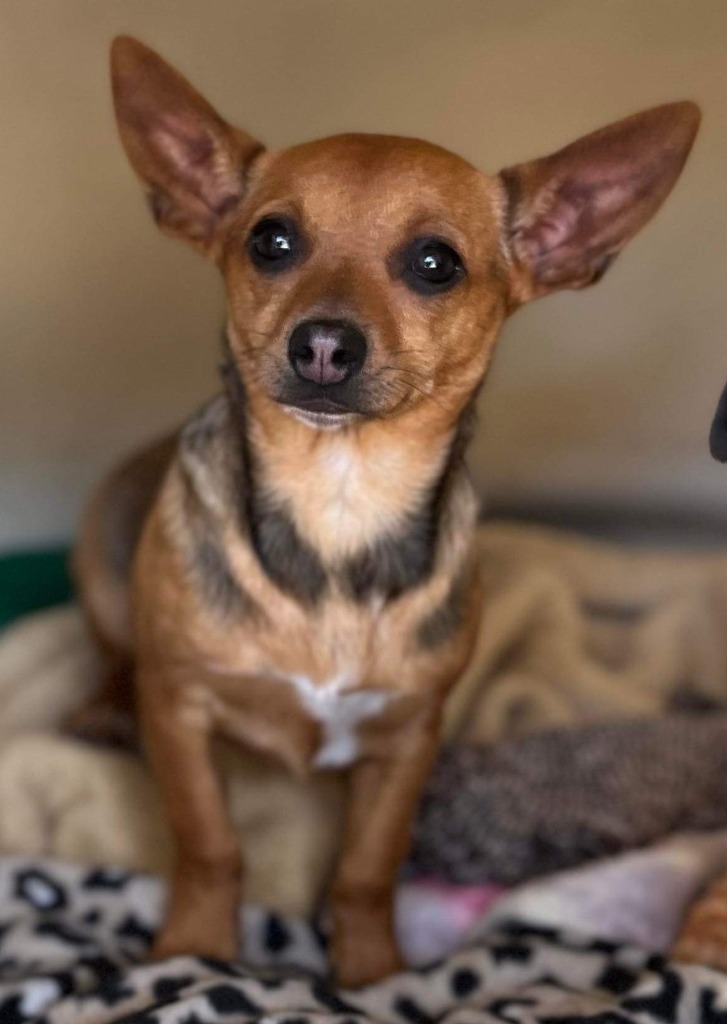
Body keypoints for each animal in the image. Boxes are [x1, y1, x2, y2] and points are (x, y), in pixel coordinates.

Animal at [74, 36, 700, 987]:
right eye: (271, 242)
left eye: (435, 262)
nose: (323, 345)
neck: (339, 504)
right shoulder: (180, 715)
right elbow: (210, 843)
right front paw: (192, 950)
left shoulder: (409, 741)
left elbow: (367, 866)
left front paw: (371, 974)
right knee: (118, 654)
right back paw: (104, 707)